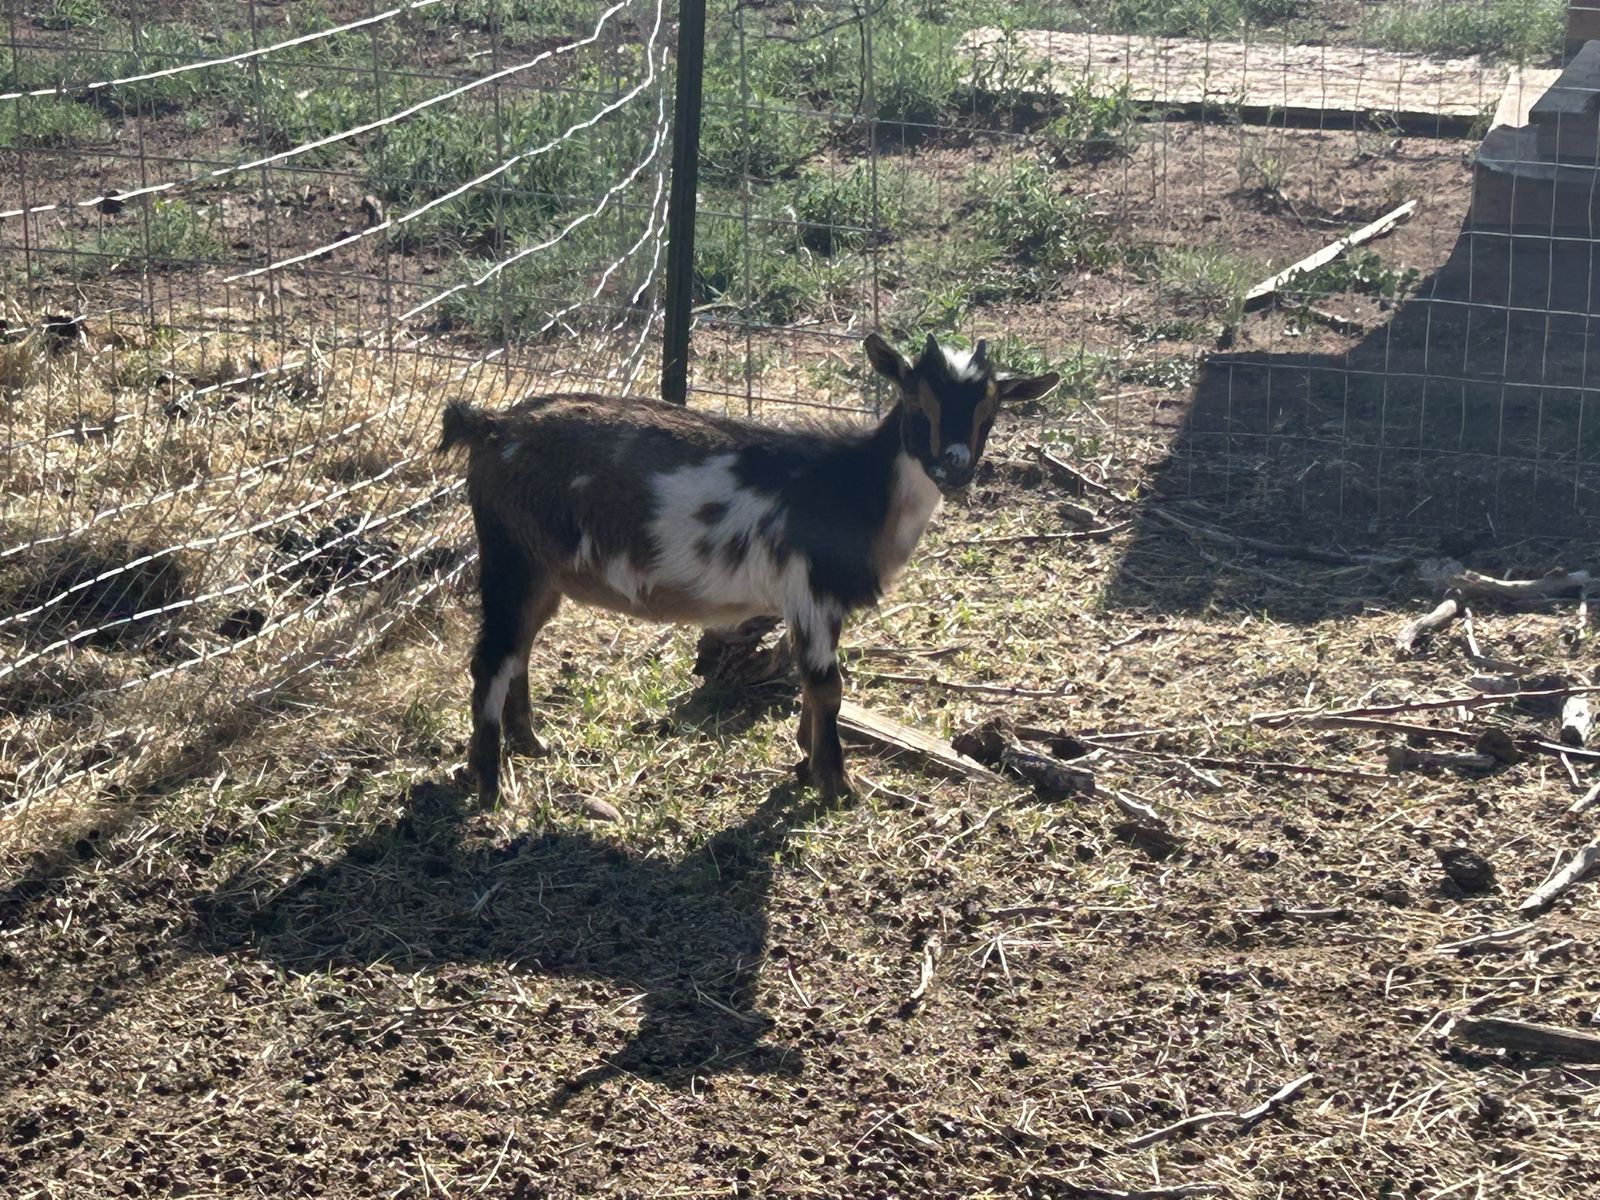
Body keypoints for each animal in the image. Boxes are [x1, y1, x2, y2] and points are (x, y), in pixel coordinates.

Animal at [437, 332, 1059, 805]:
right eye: (916, 402)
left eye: (990, 413)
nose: (954, 468)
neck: (858, 487)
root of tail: (490, 424)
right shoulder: (812, 592)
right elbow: (827, 686)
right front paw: (836, 785)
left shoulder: (815, 605)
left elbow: (810, 685)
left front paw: (807, 764)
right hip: (510, 557)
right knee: (491, 657)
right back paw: (489, 784)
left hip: (541, 571)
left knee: (520, 646)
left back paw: (529, 742)